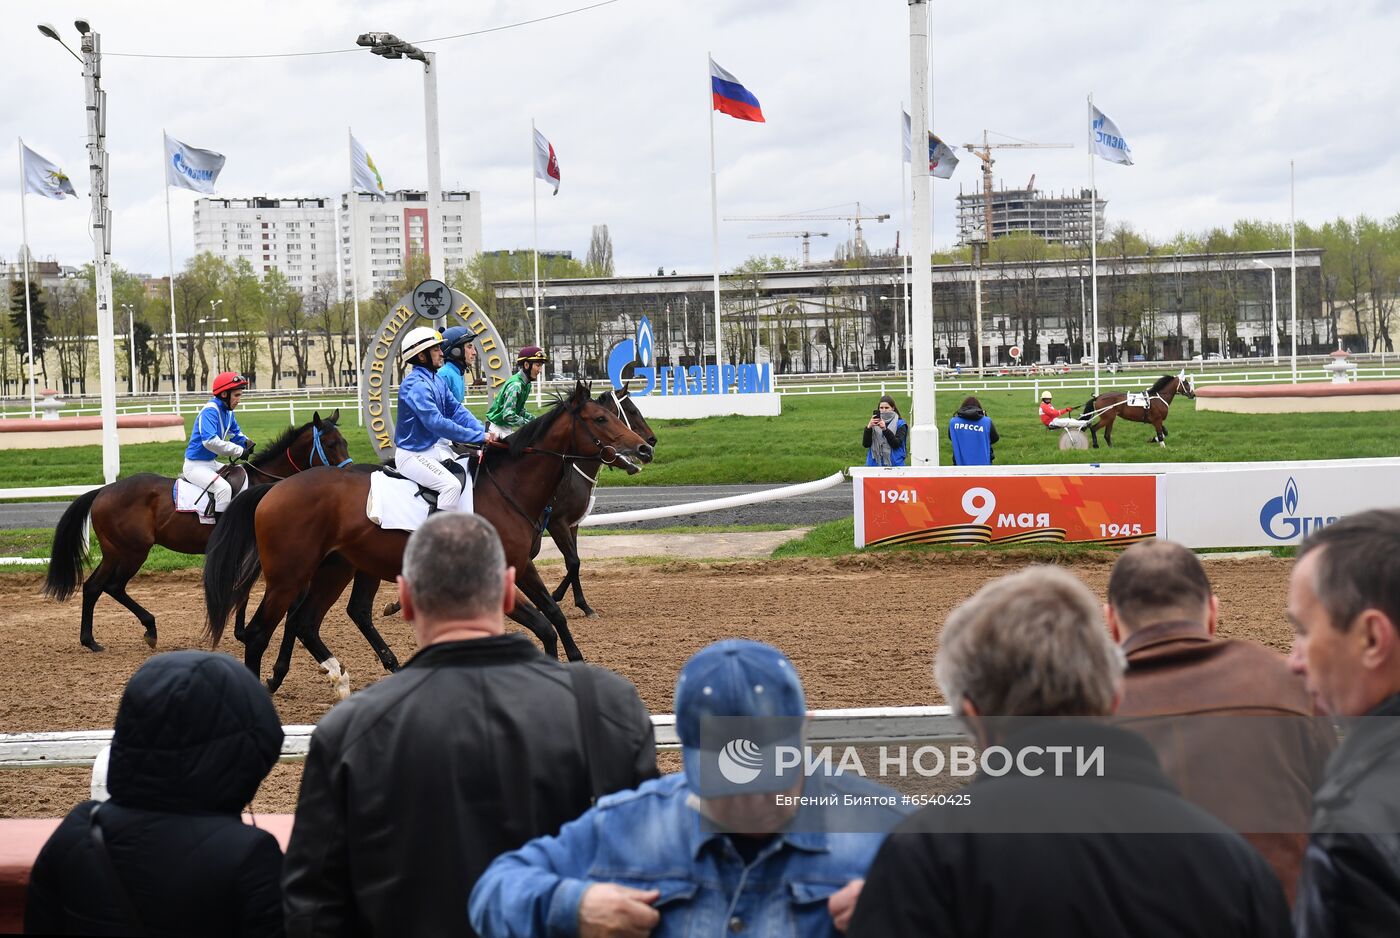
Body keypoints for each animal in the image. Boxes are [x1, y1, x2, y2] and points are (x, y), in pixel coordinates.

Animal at [44, 411, 352, 655]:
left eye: (345, 442)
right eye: (329, 444)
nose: (348, 474)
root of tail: (103, 491)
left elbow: (244, 590)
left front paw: (242, 632)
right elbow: (243, 589)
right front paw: (243, 633)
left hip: (119, 553)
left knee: (98, 587)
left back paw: (104, 636)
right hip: (129, 552)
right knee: (105, 586)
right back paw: (121, 634)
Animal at [203, 380, 649, 691]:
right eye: (601, 418)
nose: (645, 448)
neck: (505, 488)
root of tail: (273, 489)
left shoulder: (522, 567)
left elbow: (553, 616)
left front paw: (575, 661)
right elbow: (541, 624)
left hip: (335, 569)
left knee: (307, 620)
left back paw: (340, 677)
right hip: (289, 576)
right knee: (260, 631)